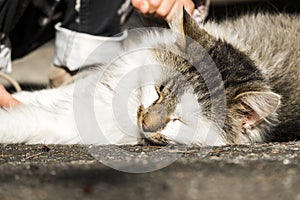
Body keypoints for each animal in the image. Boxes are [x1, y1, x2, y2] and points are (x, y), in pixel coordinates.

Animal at [0, 8, 298, 145]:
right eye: (158, 91)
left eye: (180, 120)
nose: (145, 122)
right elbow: (42, 96)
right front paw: (15, 95)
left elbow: (27, 119)